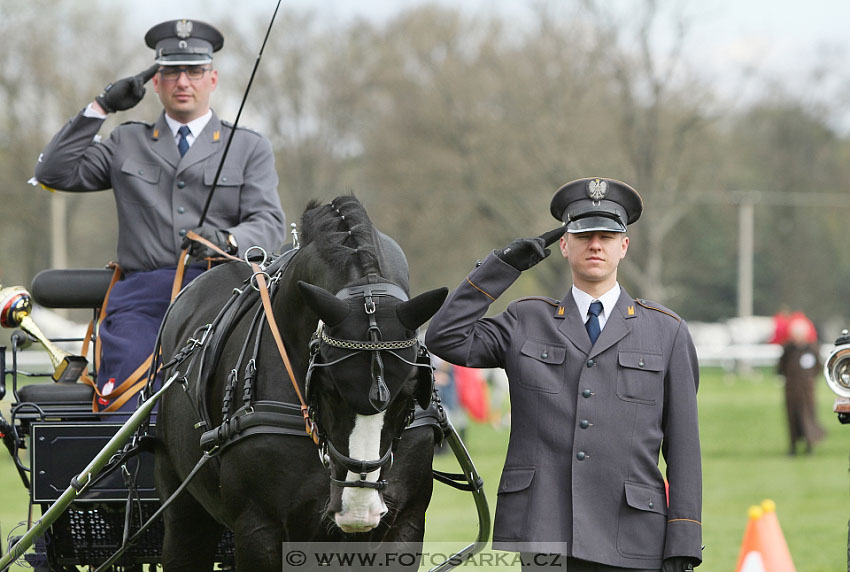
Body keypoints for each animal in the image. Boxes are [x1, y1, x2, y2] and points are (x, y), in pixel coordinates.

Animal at [152, 194, 448, 568]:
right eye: (329, 388)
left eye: (409, 392)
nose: (358, 508)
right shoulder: (258, 528)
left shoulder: (403, 526)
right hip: (183, 512)